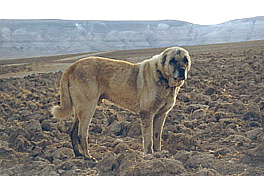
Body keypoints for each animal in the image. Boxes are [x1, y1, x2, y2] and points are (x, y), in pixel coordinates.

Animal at [51, 46, 191, 161]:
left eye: (186, 60)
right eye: (172, 60)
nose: (182, 70)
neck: (162, 77)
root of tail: (71, 66)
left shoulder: (161, 115)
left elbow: (157, 136)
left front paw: (158, 153)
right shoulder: (147, 114)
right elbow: (148, 138)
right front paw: (149, 154)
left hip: (79, 108)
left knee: (73, 131)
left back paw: (78, 154)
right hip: (87, 107)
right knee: (82, 133)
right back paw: (87, 156)